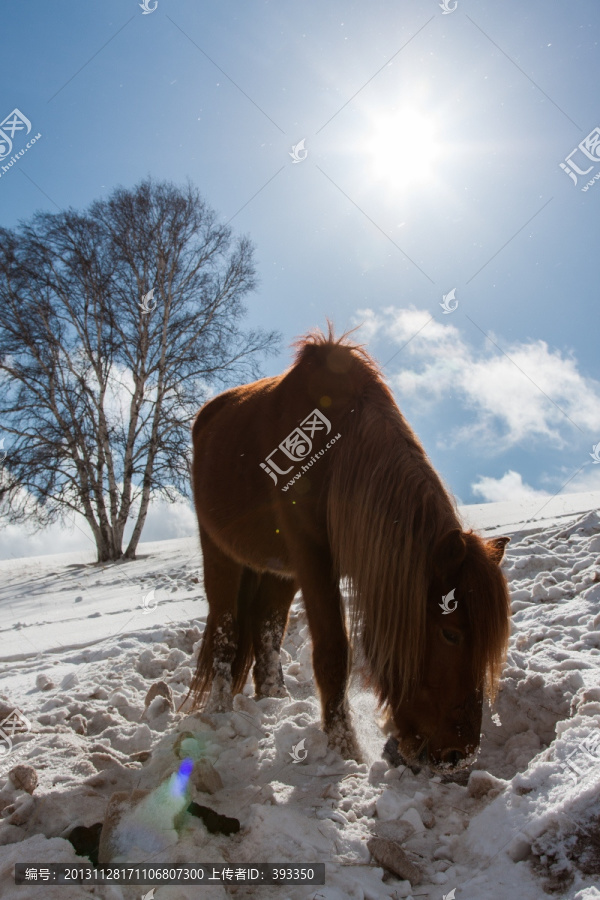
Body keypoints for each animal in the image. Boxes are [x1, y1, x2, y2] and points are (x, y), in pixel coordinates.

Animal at [189, 326, 510, 768]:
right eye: (450, 634)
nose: (457, 754)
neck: (334, 451)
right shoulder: (313, 559)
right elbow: (333, 652)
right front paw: (345, 749)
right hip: (222, 555)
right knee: (227, 631)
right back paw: (220, 713)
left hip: (278, 570)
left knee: (267, 628)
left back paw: (274, 701)